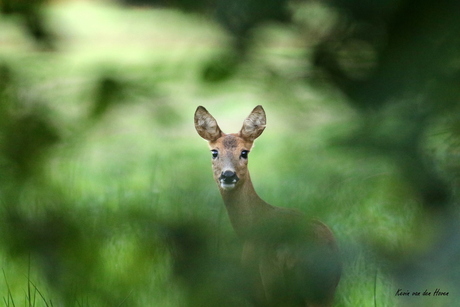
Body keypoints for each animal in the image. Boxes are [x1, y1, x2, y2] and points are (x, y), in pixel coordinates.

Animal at [194, 106, 342, 307]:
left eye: (244, 152)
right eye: (214, 152)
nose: (228, 175)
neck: (250, 228)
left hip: (273, 282)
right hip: (325, 291)